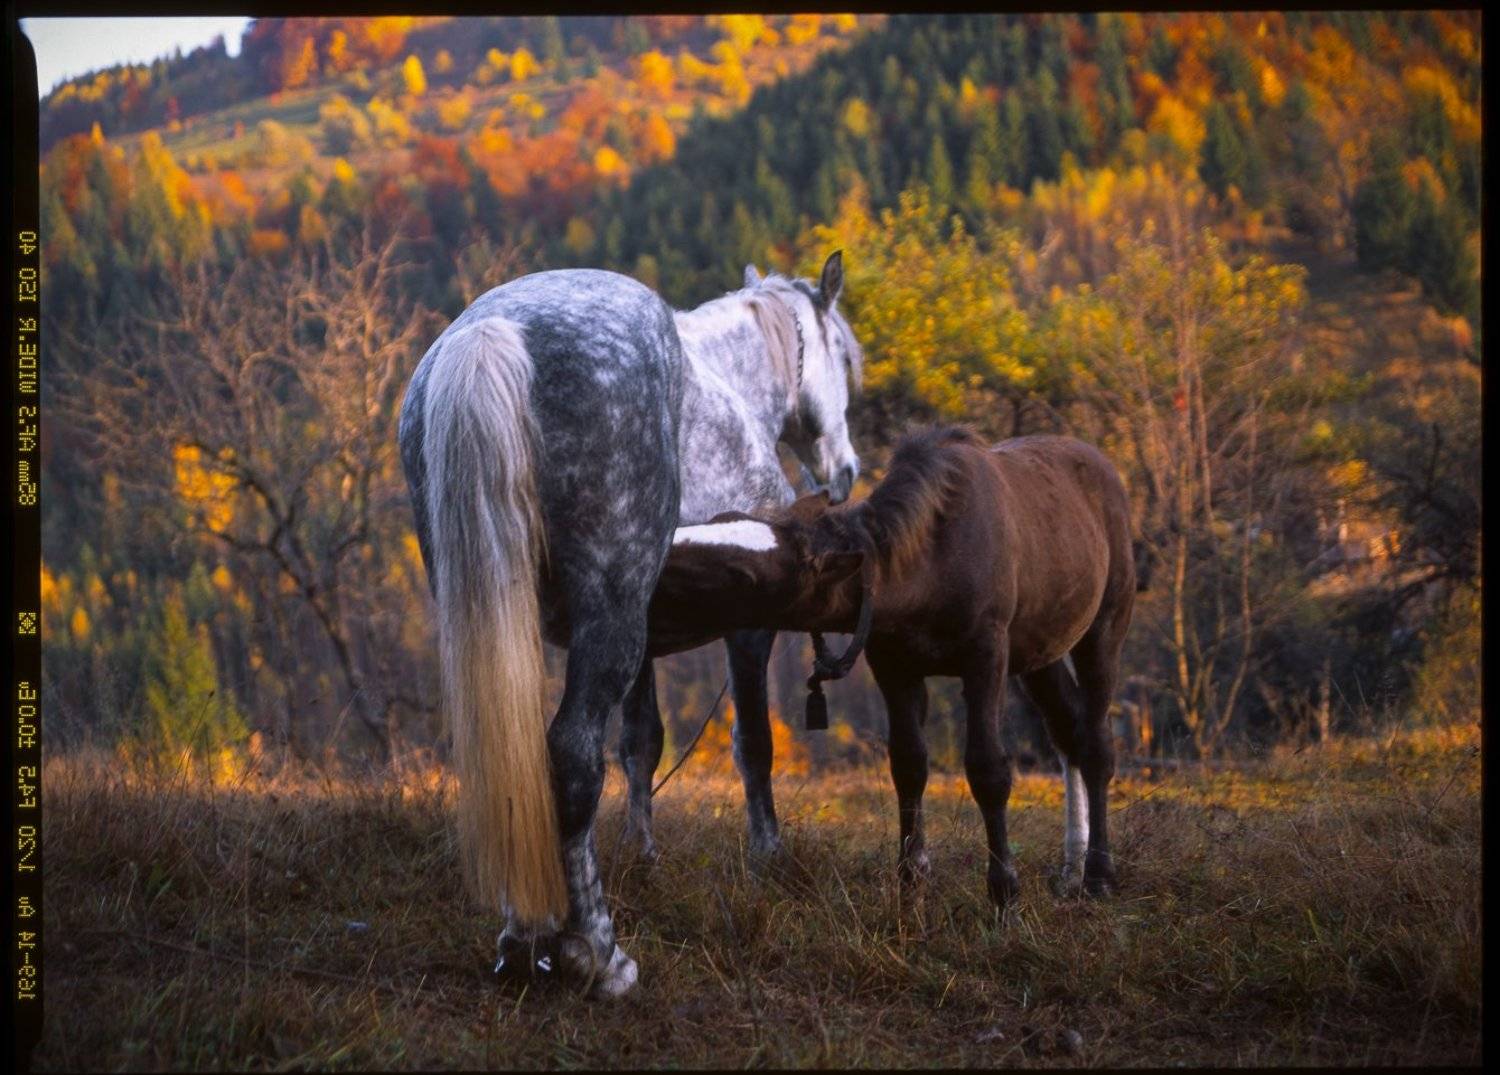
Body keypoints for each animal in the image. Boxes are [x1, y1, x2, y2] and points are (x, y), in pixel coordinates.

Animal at [397, 253, 860, 998]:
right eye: (843, 355)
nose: (844, 471)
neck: (730, 387)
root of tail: (491, 333)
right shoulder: (745, 630)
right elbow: (753, 745)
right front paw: (767, 855)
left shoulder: (647, 634)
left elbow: (642, 743)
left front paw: (643, 854)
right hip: (605, 621)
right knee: (570, 757)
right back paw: (595, 953)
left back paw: (523, 939)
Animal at [649, 427, 1137, 906]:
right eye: (720, 517)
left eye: (746, 576)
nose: (662, 559)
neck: (922, 575)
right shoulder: (893, 665)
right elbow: (908, 765)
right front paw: (911, 878)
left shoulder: (986, 657)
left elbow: (988, 769)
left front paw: (1003, 889)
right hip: (1040, 654)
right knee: (1067, 731)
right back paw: (1070, 870)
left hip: (1103, 628)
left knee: (1096, 743)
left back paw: (1098, 874)